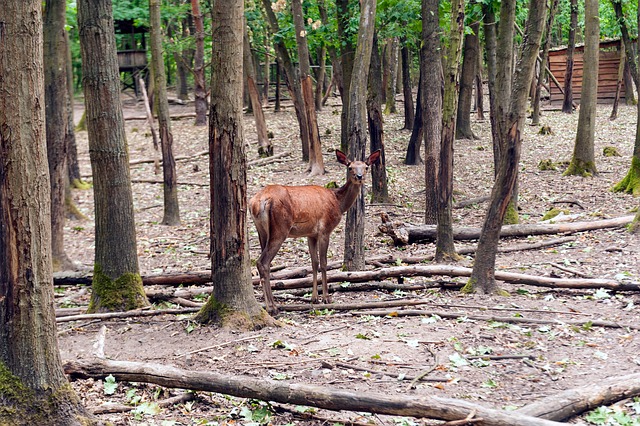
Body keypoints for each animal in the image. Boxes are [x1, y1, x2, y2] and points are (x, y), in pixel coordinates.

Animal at [249, 149, 381, 315]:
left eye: (366, 167)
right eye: (350, 167)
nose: (359, 176)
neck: (338, 203)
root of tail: (257, 202)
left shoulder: (310, 234)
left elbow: (314, 263)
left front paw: (314, 298)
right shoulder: (325, 230)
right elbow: (324, 263)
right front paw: (326, 298)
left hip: (261, 231)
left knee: (262, 262)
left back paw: (270, 305)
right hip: (280, 229)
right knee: (263, 262)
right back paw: (272, 307)